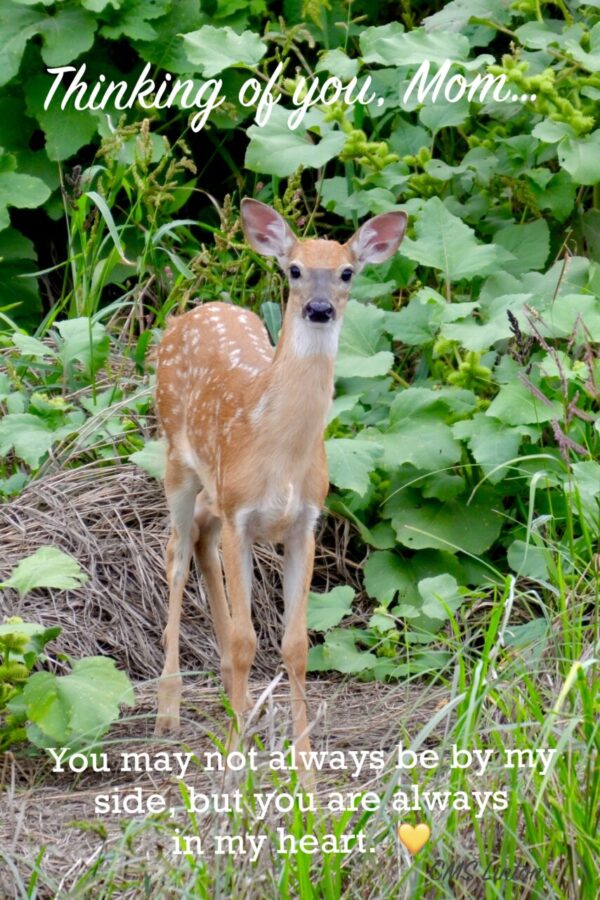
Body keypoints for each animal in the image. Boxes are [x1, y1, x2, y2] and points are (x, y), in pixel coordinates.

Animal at [155, 199, 408, 772]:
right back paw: (169, 710)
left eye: (347, 272)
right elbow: (248, 640)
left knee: (199, 536)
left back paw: (231, 697)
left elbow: (295, 646)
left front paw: (305, 770)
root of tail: (187, 315)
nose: (318, 308)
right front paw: (235, 759)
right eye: (293, 269)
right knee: (176, 554)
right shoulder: (241, 517)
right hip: (175, 459)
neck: (279, 453)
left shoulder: (304, 523)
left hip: (213, 491)